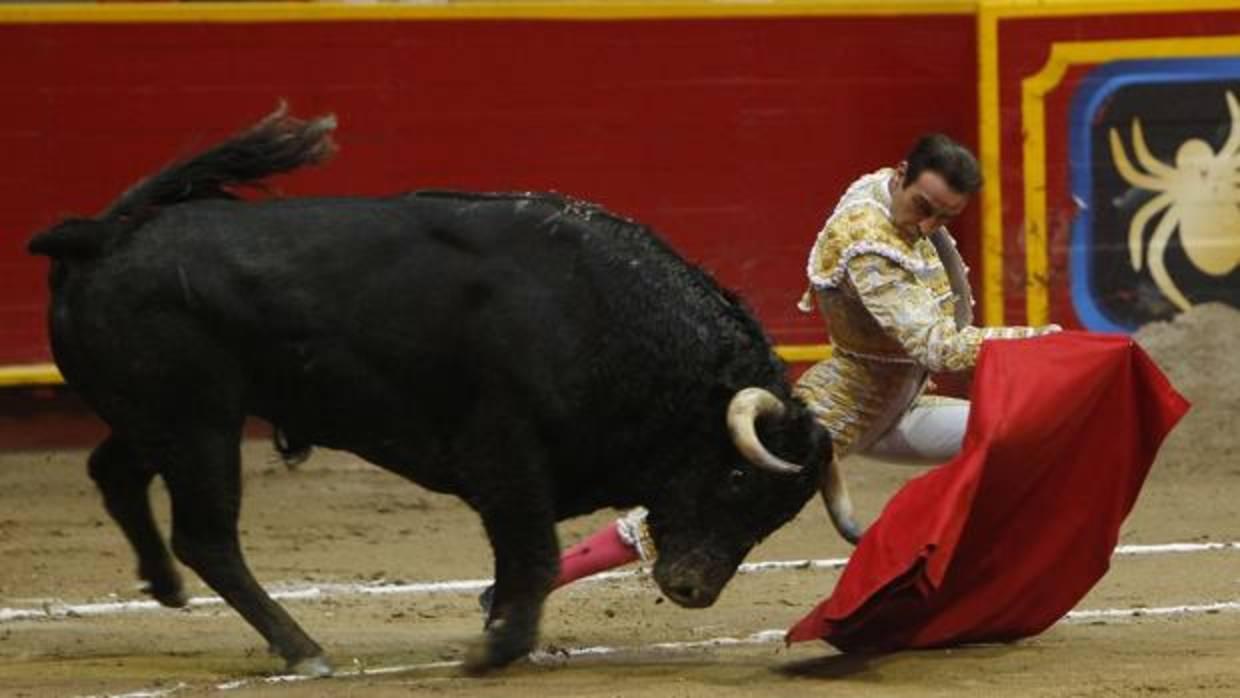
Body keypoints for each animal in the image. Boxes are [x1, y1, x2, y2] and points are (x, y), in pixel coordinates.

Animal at [26, 109, 833, 679]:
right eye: (737, 479)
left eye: (782, 512)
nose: (694, 590)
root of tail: (101, 236)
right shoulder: (505, 451)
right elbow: (532, 556)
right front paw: (495, 650)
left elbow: (519, 563)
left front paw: (504, 637)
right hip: (199, 424)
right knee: (207, 536)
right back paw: (302, 648)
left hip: (154, 417)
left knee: (113, 471)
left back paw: (165, 586)